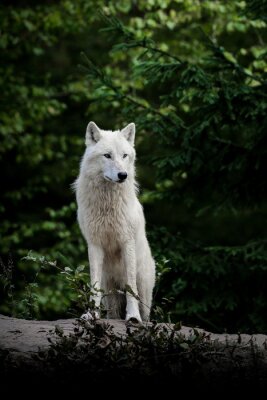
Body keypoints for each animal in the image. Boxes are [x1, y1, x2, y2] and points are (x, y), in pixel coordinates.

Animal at [74, 121, 156, 322]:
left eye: (124, 155)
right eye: (107, 155)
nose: (123, 175)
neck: (107, 204)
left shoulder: (127, 242)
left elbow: (130, 286)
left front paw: (133, 317)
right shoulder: (94, 244)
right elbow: (93, 286)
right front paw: (91, 314)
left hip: (145, 292)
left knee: (146, 314)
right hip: (109, 290)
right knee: (112, 313)